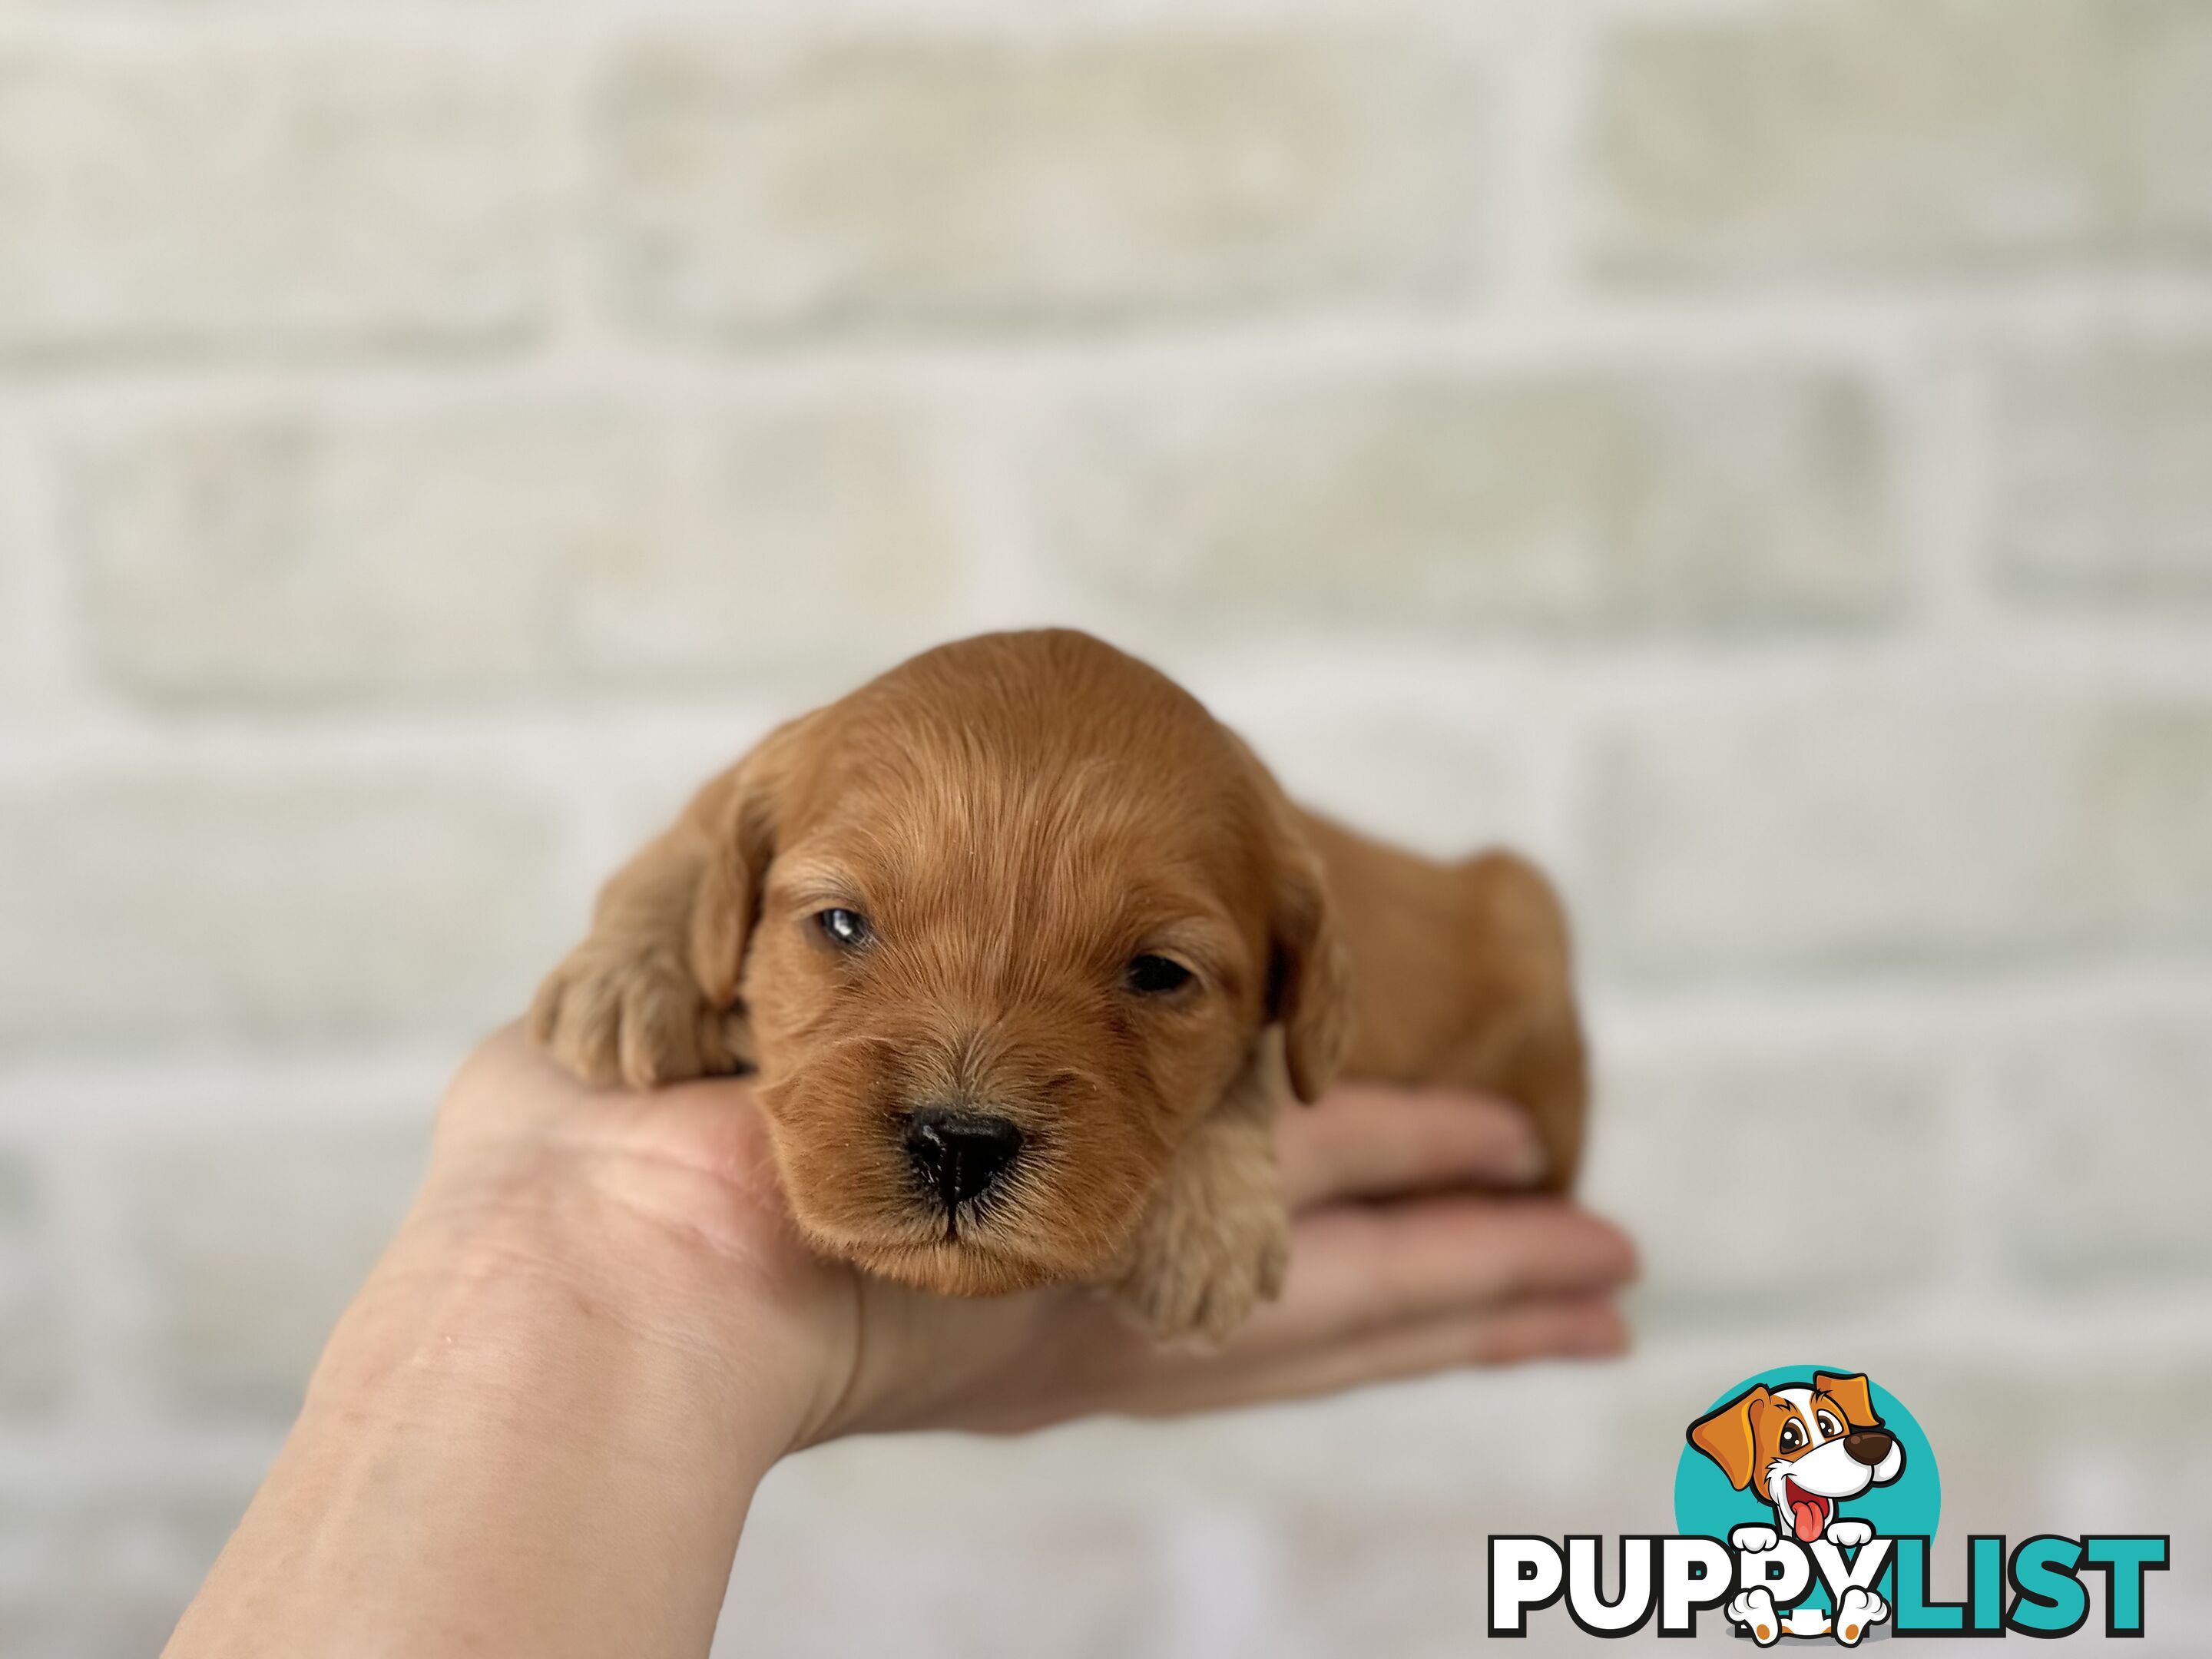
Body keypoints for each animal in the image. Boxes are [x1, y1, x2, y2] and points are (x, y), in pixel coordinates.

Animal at [526, 628, 1584, 1345]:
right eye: (840, 925)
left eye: (1159, 975)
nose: (958, 1145)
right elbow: (695, 831)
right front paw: (631, 971)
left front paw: (1206, 1231)